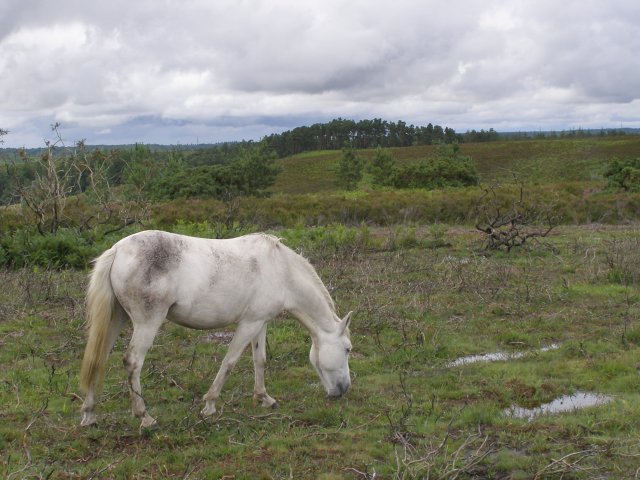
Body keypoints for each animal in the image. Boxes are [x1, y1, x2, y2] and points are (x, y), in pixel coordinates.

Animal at [79, 230, 356, 428]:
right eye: (348, 349)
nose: (344, 390)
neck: (282, 271)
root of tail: (117, 250)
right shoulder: (248, 324)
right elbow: (230, 361)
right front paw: (210, 405)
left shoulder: (260, 322)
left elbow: (260, 360)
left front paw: (264, 398)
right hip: (147, 324)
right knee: (133, 362)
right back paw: (145, 417)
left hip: (117, 319)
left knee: (98, 359)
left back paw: (89, 414)